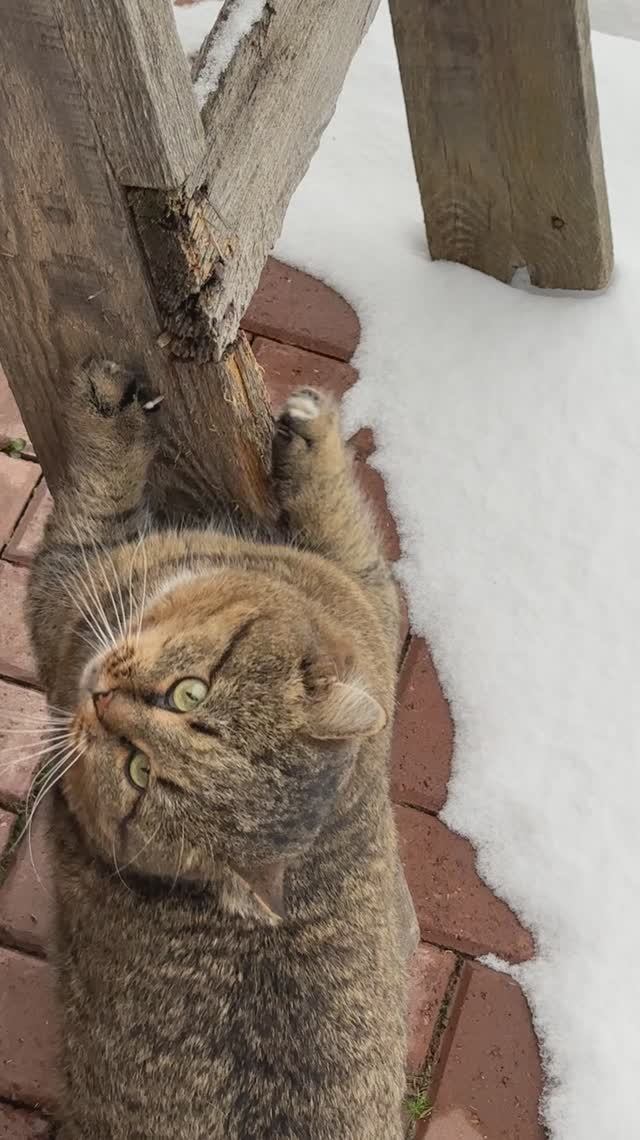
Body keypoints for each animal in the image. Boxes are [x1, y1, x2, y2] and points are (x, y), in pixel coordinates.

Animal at [27, 358, 409, 1139]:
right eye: (190, 694)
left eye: (138, 772)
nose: (103, 703)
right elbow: (345, 525)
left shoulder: (66, 580)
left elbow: (96, 497)